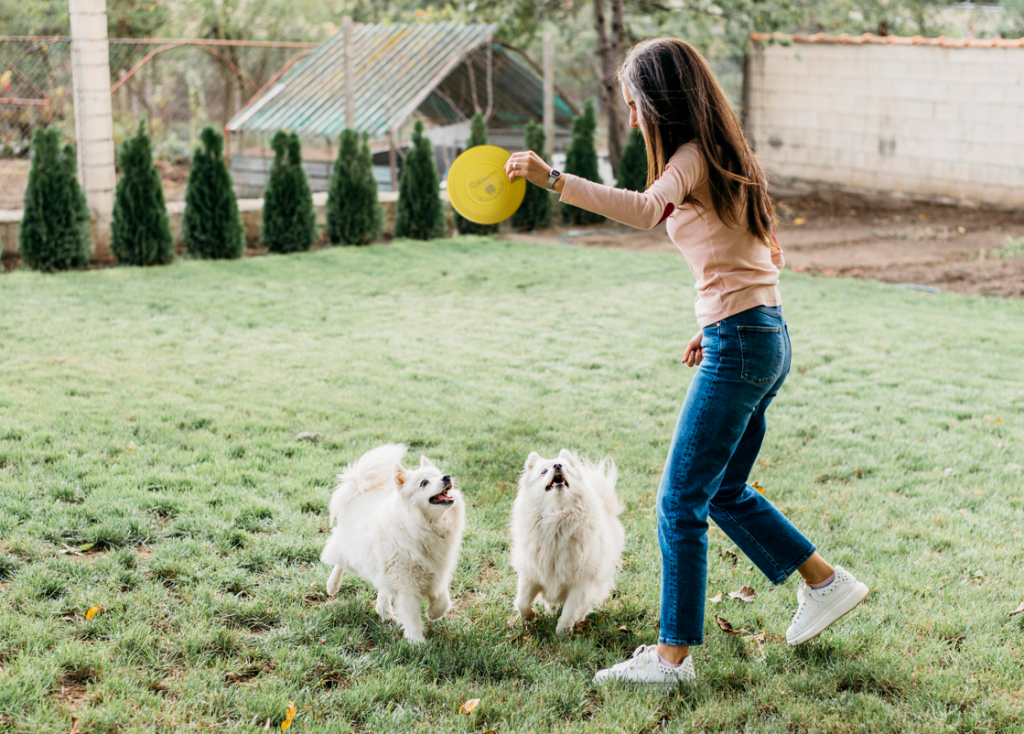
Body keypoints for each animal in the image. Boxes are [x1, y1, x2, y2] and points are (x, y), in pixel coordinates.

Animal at [317, 440, 466, 642]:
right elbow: (412, 617)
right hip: (352, 554)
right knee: (338, 559)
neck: (421, 524)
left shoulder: (437, 572)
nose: (447, 477)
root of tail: (361, 487)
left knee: (382, 588)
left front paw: (433, 613)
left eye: (438, 474)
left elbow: (443, 600)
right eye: (424, 483)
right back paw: (333, 585)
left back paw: (385, 611)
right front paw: (417, 643)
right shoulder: (407, 585)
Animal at [509, 450, 622, 634]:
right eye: (543, 471)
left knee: (584, 606)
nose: (557, 465)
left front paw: (561, 633)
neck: (557, 519)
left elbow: (570, 611)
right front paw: (530, 617)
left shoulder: (581, 583)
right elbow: (522, 602)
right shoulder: (531, 575)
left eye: (567, 469)